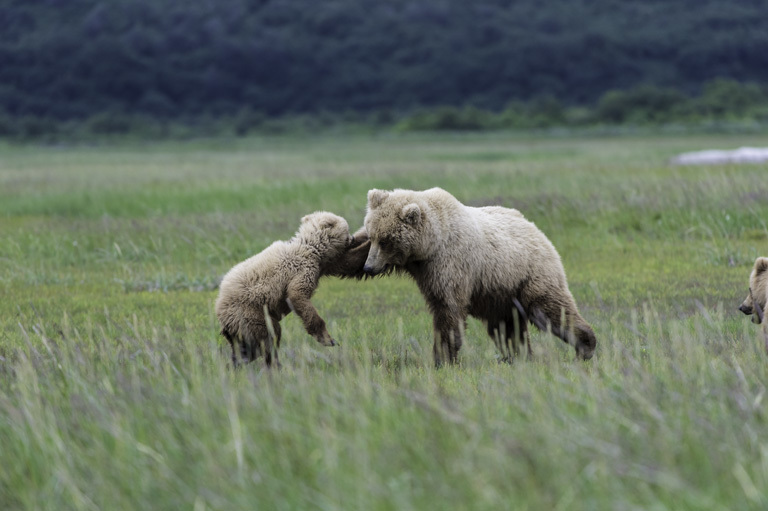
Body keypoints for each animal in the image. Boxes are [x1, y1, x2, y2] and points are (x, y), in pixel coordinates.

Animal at [214, 212, 370, 368]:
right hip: (249, 313)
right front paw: (328, 339)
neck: (312, 248)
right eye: (347, 229)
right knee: (270, 335)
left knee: (245, 347)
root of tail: (219, 310)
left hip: (240, 325)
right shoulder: (302, 268)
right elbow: (297, 296)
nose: (353, 238)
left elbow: (349, 263)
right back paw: (273, 364)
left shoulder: (323, 265)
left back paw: (238, 363)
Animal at [364, 188, 596, 368]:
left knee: (550, 310)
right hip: (501, 292)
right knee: (506, 328)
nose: (368, 267)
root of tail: (536, 229)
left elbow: (449, 310)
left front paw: (444, 358)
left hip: (529, 274)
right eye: (371, 236)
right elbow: (441, 307)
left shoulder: (451, 265)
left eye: (385, 240)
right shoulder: (427, 272)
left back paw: (586, 346)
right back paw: (519, 355)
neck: (431, 245)